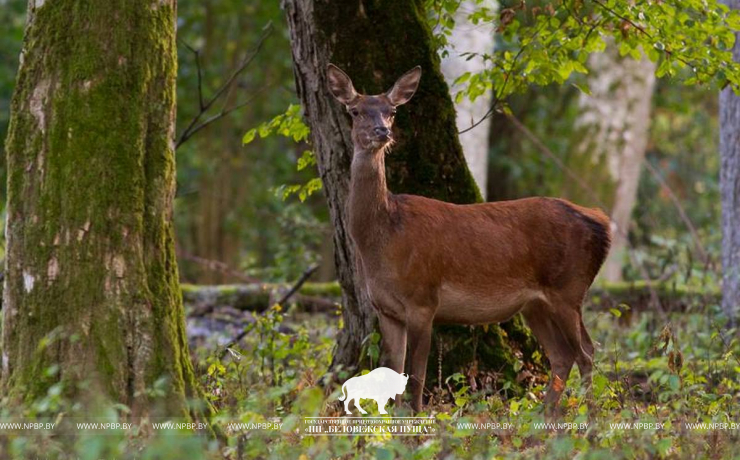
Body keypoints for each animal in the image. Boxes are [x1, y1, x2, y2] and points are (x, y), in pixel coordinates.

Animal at [328, 63, 612, 414]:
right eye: (355, 111)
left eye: (391, 111)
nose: (382, 131)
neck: (382, 239)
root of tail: (602, 223)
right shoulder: (386, 309)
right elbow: (392, 370)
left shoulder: (423, 299)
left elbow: (416, 377)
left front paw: (418, 422)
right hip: (536, 303)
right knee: (563, 354)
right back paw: (545, 418)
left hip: (568, 287)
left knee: (586, 352)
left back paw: (588, 418)